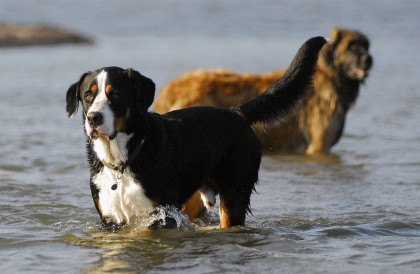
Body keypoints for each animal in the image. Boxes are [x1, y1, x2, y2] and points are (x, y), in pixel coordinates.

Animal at [66, 37, 328, 229]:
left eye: (115, 94)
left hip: (234, 195)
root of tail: (236, 113)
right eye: (88, 95)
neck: (122, 160)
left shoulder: (163, 214)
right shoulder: (111, 219)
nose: (93, 118)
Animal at [156, 28, 372, 156]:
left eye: (366, 46)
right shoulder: (318, 147)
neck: (332, 77)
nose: (369, 59)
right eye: (351, 47)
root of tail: (173, 88)